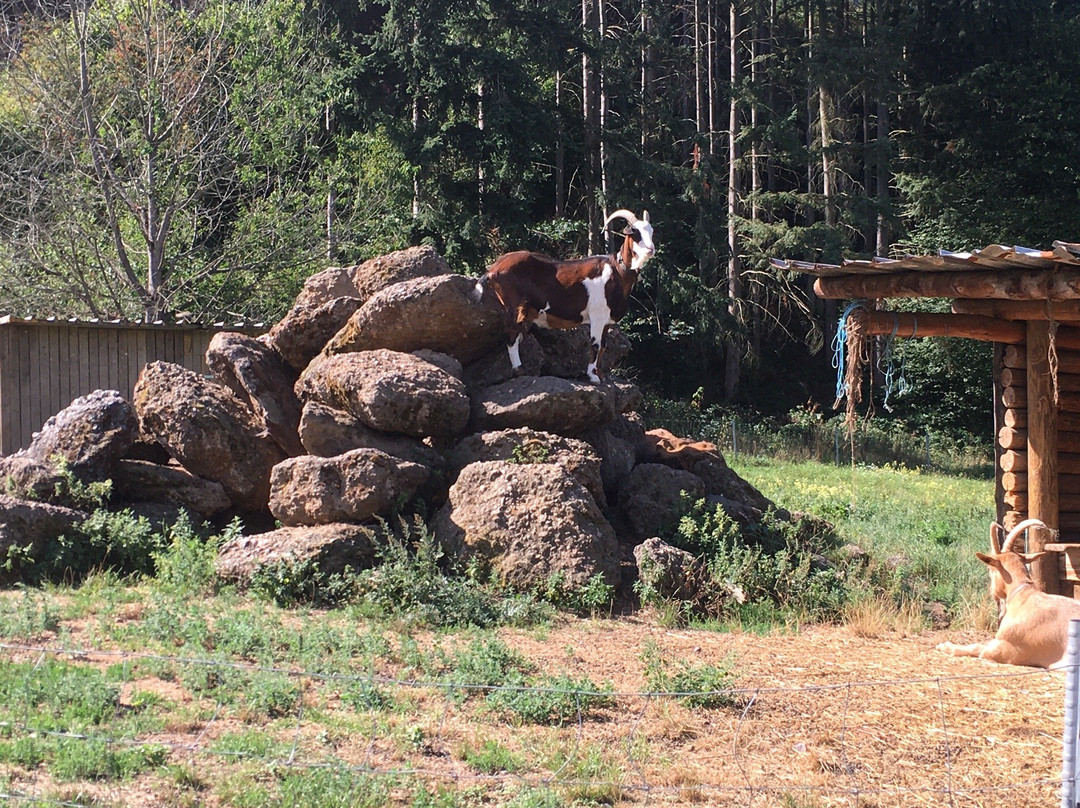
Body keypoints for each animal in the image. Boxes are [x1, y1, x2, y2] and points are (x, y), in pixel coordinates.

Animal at [477, 208, 652, 384]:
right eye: (635, 232)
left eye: (651, 231)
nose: (651, 249)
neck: (617, 270)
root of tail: (493, 269)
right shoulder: (597, 315)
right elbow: (596, 345)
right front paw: (593, 377)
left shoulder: (606, 320)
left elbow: (603, 345)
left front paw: (600, 374)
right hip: (515, 306)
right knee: (511, 334)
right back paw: (519, 370)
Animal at [933, 518, 1080, 669]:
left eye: (991, 569)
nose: (992, 592)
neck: (1023, 597)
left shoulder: (1005, 649)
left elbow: (978, 648)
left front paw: (945, 646)